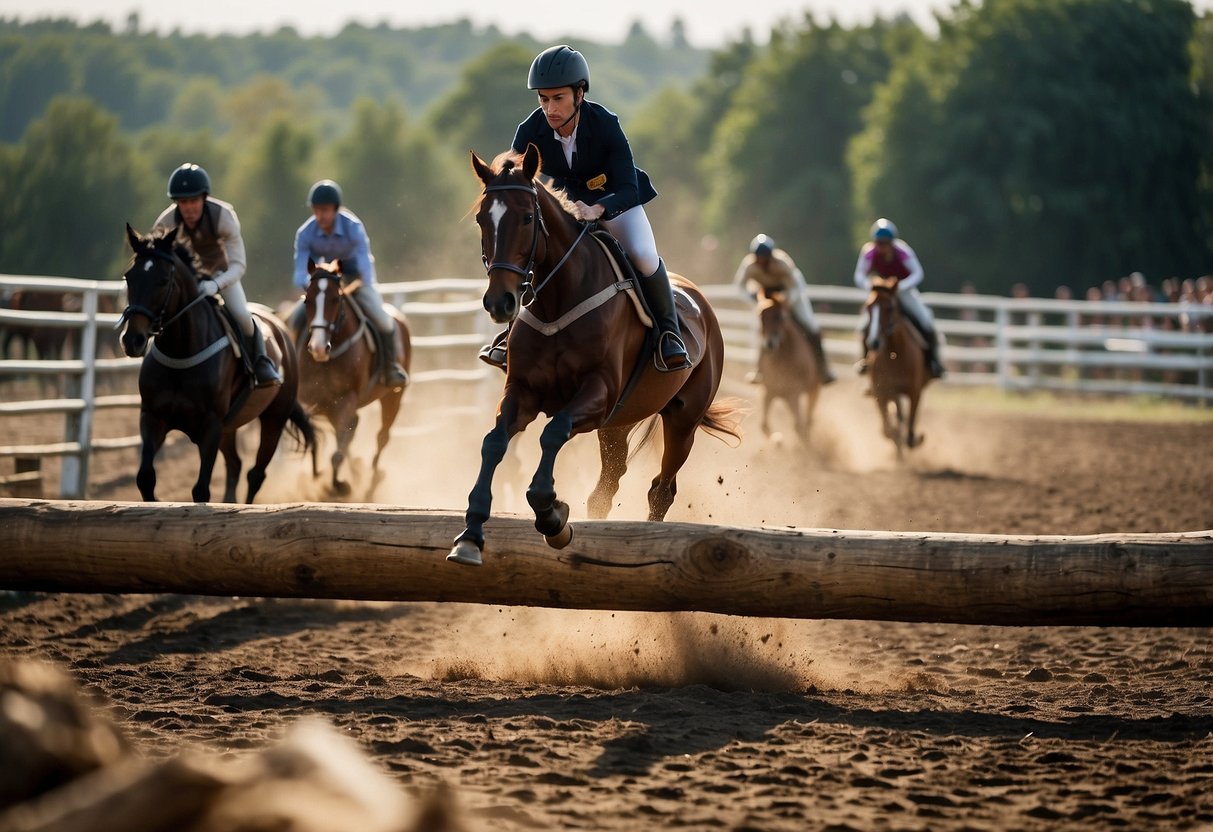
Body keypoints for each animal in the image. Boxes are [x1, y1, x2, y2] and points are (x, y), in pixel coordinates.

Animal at [119, 221, 312, 504]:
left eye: (163, 280)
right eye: (129, 277)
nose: (132, 340)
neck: (182, 352)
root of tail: (281, 326)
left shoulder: (211, 425)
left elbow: (201, 490)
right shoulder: (153, 417)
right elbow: (145, 478)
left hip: (274, 417)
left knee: (255, 474)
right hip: (230, 427)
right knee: (235, 465)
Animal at [298, 257, 412, 499]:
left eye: (335, 299)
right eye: (307, 300)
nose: (318, 348)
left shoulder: (346, 400)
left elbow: (339, 449)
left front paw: (338, 485)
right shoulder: (310, 400)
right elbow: (314, 435)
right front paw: (319, 474)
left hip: (393, 397)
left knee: (381, 436)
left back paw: (372, 481)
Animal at [451, 148, 742, 567]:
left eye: (526, 218)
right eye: (481, 219)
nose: (499, 302)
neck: (558, 298)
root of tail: (700, 300)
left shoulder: (597, 394)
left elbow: (553, 431)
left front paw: (552, 515)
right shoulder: (523, 391)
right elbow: (494, 442)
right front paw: (471, 535)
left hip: (682, 419)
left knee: (662, 489)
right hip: (619, 422)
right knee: (608, 484)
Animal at [756, 294, 824, 448]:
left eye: (780, 317)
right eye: (761, 317)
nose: (770, 343)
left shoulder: (794, 393)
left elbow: (799, 426)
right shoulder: (769, 391)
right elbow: (763, 425)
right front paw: (777, 441)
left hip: (812, 390)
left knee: (807, 420)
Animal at [863, 276, 926, 456]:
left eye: (889, 308)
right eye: (868, 307)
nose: (874, 342)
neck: (895, 354)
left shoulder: (914, 391)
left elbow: (909, 429)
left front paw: (914, 439)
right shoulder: (881, 393)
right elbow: (887, 430)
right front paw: (896, 438)